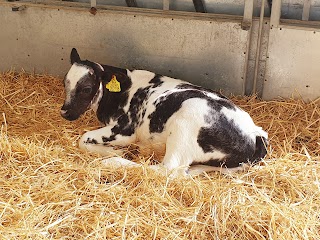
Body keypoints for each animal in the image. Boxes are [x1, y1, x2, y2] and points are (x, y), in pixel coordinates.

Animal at [60, 48, 268, 175]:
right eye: (65, 83)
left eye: (86, 88)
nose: (64, 112)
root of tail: (255, 135)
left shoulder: (124, 129)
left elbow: (82, 139)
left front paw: (115, 153)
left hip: (186, 121)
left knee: (166, 170)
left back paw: (114, 163)